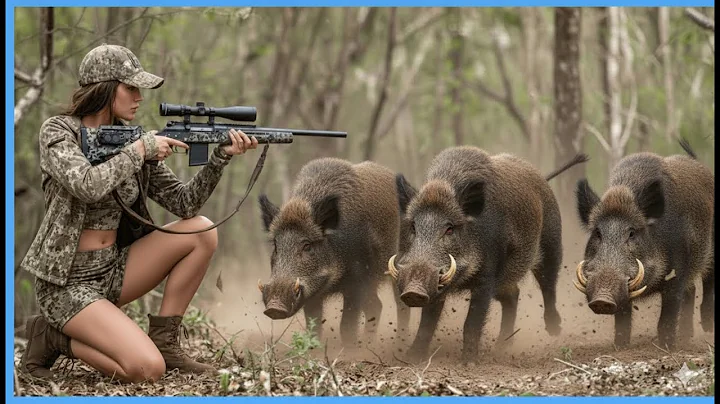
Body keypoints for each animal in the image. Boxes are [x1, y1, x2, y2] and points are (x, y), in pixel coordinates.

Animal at [257, 157, 410, 347]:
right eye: (276, 245)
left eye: (307, 245)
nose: (274, 307)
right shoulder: (312, 294)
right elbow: (313, 329)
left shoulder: (356, 282)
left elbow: (346, 327)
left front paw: (351, 350)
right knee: (376, 306)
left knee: (400, 305)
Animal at [387, 146, 589, 363]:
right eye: (413, 226)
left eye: (449, 228)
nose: (413, 291)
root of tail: (541, 178)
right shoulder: (438, 283)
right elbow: (427, 322)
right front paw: (411, 358)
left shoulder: (486, 276)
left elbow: (472, 322)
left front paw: (469, 362)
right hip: (504, 280)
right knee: (513, 295)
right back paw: (502, 346)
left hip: (551, 243)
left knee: (548, 284)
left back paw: (554, 330)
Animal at [574, 138, 714, 349]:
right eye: (597, 233)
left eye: (632, 233)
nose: (602, 299)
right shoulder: (625, 290)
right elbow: (623, 319)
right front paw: (620, 347)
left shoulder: (675, 275)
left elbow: (667, 316)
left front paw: (666, 348)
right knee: (691, 292)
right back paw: (686, 337)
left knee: (707, 284)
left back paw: (707, 329)